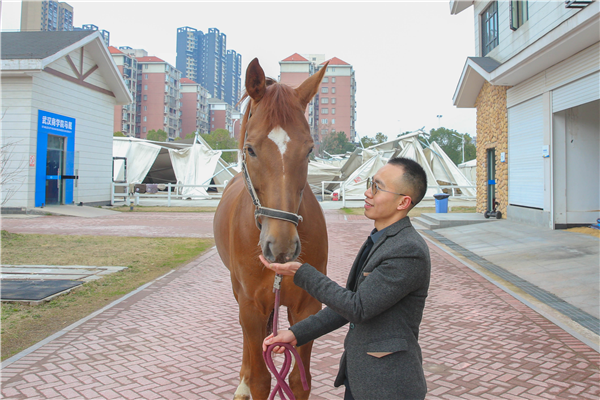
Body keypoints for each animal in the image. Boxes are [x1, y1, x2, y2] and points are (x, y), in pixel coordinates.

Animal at [213, 59, 328, 400]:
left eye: (309, 149)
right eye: (250, 149)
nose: (281, 247)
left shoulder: (307, 308)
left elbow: (298, 382)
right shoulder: (250, 307)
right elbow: (262, 381)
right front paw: (248, 382)